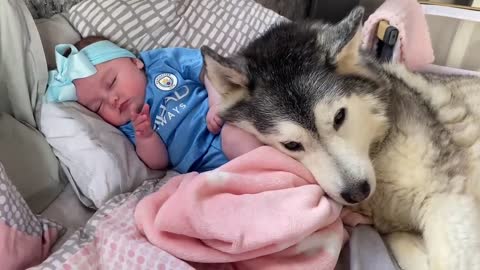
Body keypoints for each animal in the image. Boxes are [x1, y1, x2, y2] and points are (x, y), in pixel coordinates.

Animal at [201, 5, 480, 270]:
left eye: (339, 117)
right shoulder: (396, 227)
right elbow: (405, 246)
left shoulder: (446, 199)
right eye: (292, 145)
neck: (376, 151)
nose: (357, 192)